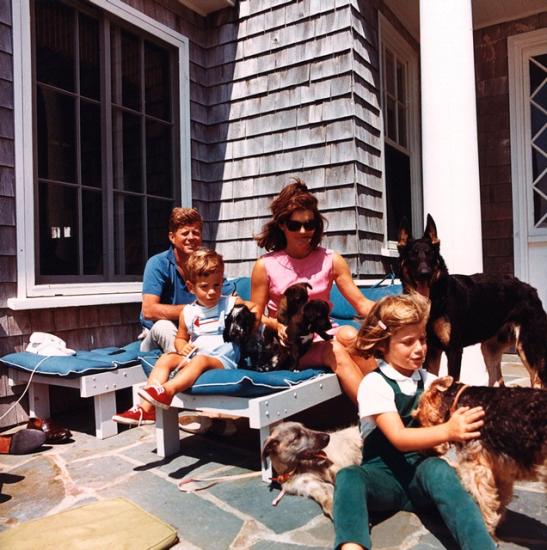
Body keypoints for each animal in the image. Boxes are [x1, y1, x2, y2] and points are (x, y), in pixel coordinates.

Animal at [398, 216, 547, 388]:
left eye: (430, 255)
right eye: (412, 255)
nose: (425, 273)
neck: (436, 298)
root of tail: (532, 290)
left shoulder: (454, 350)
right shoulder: (432, 351)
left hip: (526, 348)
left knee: (538, 381)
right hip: (489, 350)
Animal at [416, 378, 547, 536]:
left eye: (419, 417)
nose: (423, 452)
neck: (459, 401)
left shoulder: (475, 467)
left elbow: (483, 503)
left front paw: (488, 530)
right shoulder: (500, 470)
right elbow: (498, 500)